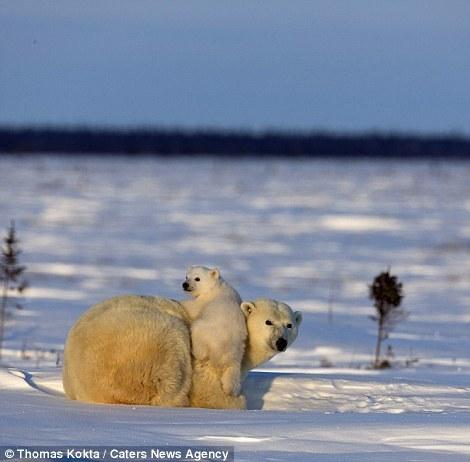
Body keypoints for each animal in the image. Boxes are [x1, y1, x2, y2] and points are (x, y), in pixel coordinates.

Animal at [61, 294, 302, 410]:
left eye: (289, 324)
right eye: (268, 321)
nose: (280, 342)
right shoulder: (212, 356)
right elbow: (208, 391)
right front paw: (236, 399)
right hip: (148, 343)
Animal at [180, 268, 246, 398]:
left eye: (197, 278)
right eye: (186, 276)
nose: (185, 285)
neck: (215, 286)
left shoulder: (204, 300)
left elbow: (192, 307)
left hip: (205, 331)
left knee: (198, 342)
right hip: (237, 355)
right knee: (232, 375)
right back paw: (230, 390)